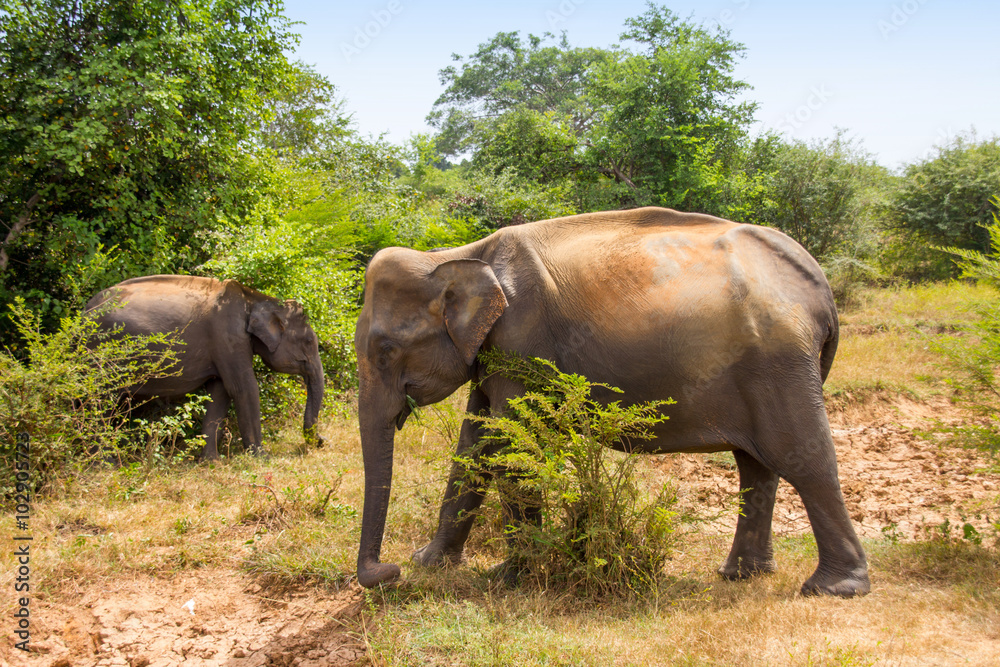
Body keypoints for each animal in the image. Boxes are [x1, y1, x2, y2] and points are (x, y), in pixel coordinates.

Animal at [85, 275, 325, 460]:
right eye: (309, 342)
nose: (322, 440)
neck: (254, 297)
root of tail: (85, 310)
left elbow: (219, 393)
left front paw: (211, 462)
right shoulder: (228, 337)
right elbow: (244, 389)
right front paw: (262, 458)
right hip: (101, 353)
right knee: (101, 400)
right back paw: (105, 464)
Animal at [353, 206, 869, 598]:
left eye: (385, 351)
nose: (388, 573)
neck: (458, 255)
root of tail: (820, 286)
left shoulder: (523, 339)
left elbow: (514, 451)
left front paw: (511, 579)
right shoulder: (492, 352)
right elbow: (475, 447)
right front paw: (429, 563)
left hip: (779, 359)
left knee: (802, 458)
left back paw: (832, 589)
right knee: (756, 465)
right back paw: (741, 575)